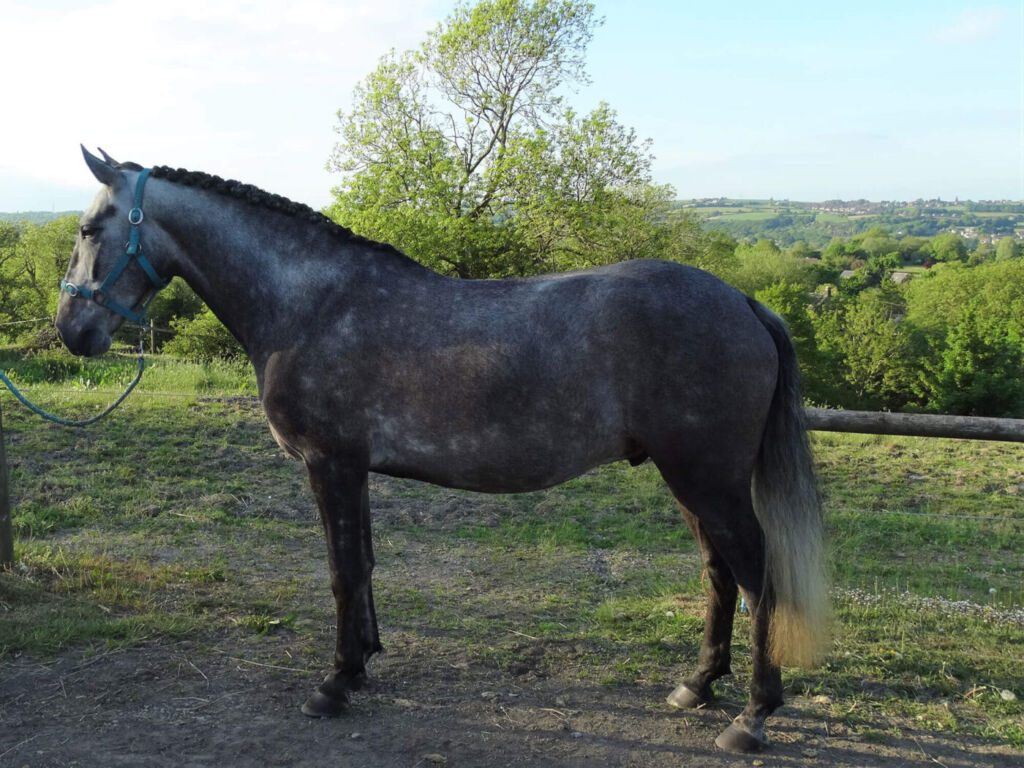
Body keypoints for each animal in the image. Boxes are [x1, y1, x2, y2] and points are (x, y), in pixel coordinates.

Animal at [56, 147, 827, 753]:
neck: (311, 305)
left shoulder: (330, 465)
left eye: (90, 229)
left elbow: (341, 572)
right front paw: (363, 662)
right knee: (718, 575)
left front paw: (334, 684)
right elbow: (363, 567)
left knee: (758, 577)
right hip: (689, 479)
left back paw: (753, 717)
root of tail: (742, 302)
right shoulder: (353, 470)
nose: (71, 331)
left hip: (709, 480)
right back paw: (696, 686)